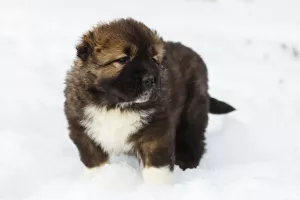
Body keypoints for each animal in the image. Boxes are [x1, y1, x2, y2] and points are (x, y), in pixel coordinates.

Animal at [64, 18, 236, 184]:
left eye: (153, 59)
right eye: (124, 59)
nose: (150, 79)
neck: (117, 105)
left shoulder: (156, 132)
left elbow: (157, 168)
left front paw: (156, 189)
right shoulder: (83, 130)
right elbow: (95, 161)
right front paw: (100, 179)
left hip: (192, 113)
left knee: (192, 141)